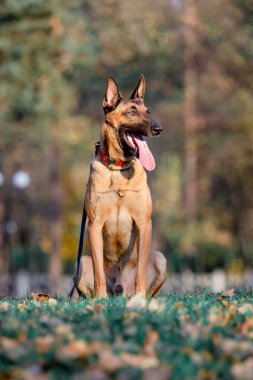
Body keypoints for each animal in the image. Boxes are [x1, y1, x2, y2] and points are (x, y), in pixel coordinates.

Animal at [76, 74, 167, 296]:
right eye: (132, 111)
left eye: (148, 111)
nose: (158, 128)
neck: (119, 170)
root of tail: (119, 289)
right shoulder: (94, 226)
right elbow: (99, 274)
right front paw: (100, 299)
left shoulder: (144, 223)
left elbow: (141, 272)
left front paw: (141, 298)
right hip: (80, 264)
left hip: (160, 259)